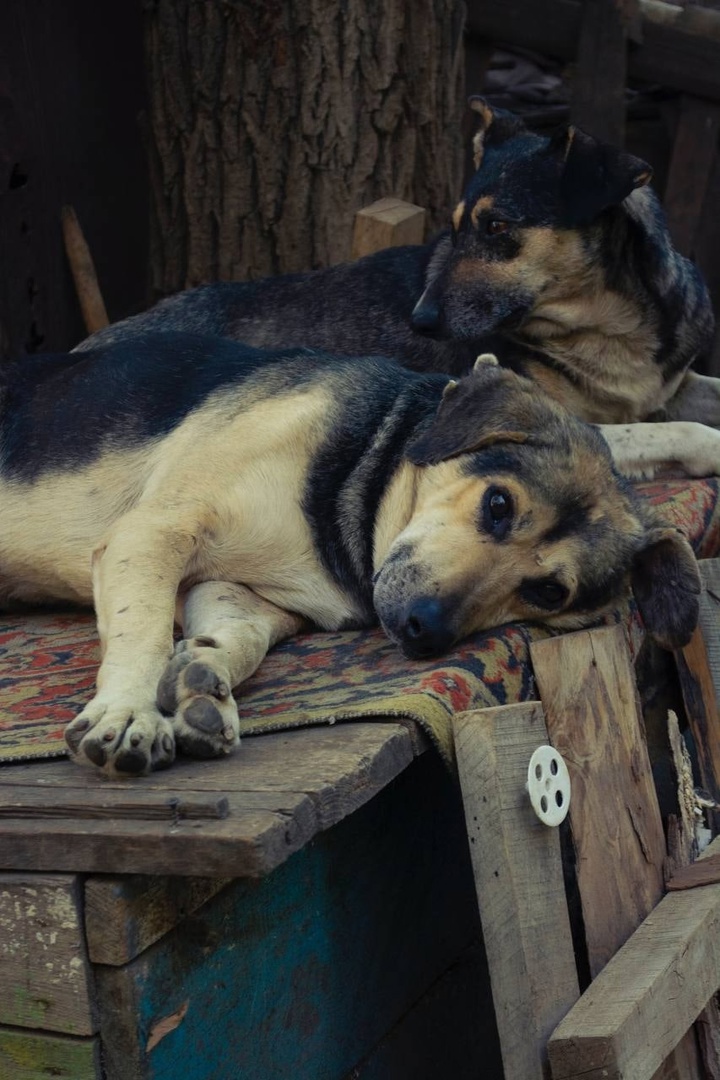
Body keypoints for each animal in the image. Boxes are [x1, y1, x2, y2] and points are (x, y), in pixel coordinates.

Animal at [0, 332, 699, 773]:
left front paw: (201, 679)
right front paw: (128, 712)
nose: (422, 629)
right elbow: (140, 631)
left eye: (549, 592)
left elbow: (239, 636)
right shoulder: (154, 531)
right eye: (498, 504)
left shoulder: (235, 589)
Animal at [78, 100, 720, 451]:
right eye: (455, 226)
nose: (420, 318)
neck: (607, 326)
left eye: (495, 226)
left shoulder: (676, 382)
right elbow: (676, 433)